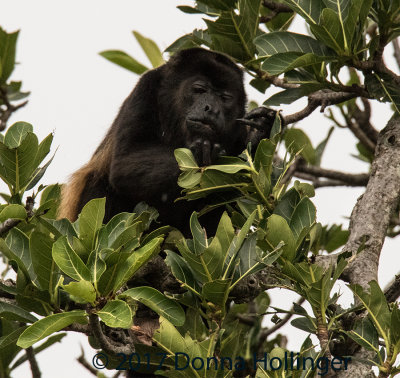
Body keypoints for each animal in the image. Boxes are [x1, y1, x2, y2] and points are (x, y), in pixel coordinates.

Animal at [59, 47, 276, 233]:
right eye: (199, 89)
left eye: (225, 98)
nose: (212, 109)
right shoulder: (145, 89)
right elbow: (124, 163)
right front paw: (201, 155)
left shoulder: (238, 129)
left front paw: (259, 132)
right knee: (99, 183)